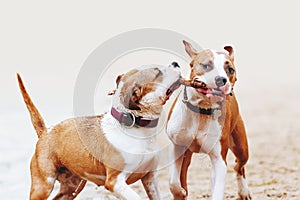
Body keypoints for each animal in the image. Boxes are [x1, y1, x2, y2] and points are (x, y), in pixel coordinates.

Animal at [18, 63, 180, 199]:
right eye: (158, 72)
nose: (175, 63)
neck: (135, 127)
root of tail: (46, 132)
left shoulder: (150, 178)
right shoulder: (115, 182)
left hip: (72, 186)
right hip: (43, 185)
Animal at [166, 41, 251, 200]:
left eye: (230, 70)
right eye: (206, 65)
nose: (221, 79)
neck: (202, 109)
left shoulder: (219, 158)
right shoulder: (178, 146)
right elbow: (173, 183)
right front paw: (180, 192)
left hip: (241, 147)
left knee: (238, 166)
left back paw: (244, 191)